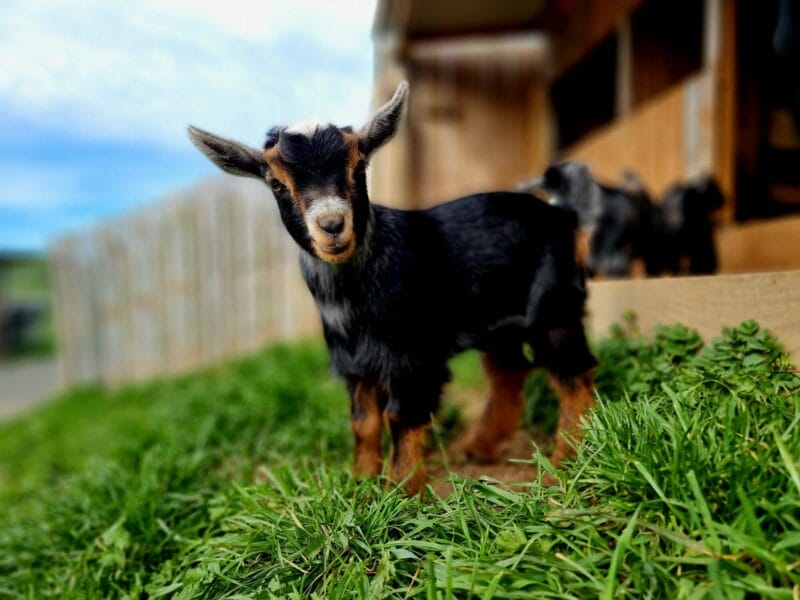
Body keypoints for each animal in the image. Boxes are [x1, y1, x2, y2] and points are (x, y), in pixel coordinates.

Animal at [188, 82, 597, 494]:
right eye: (275, 182)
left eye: (358, 165)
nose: (332, 226)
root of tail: (563, 215)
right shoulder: (354, 362)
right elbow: (363, 421)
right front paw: (361, 482)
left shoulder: (411, 355)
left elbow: (401, 416)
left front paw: (401, 491)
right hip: (500, 322)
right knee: (509, 372)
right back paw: (480, 448)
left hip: (554, 306)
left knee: (574, 373)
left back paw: (564, 460)